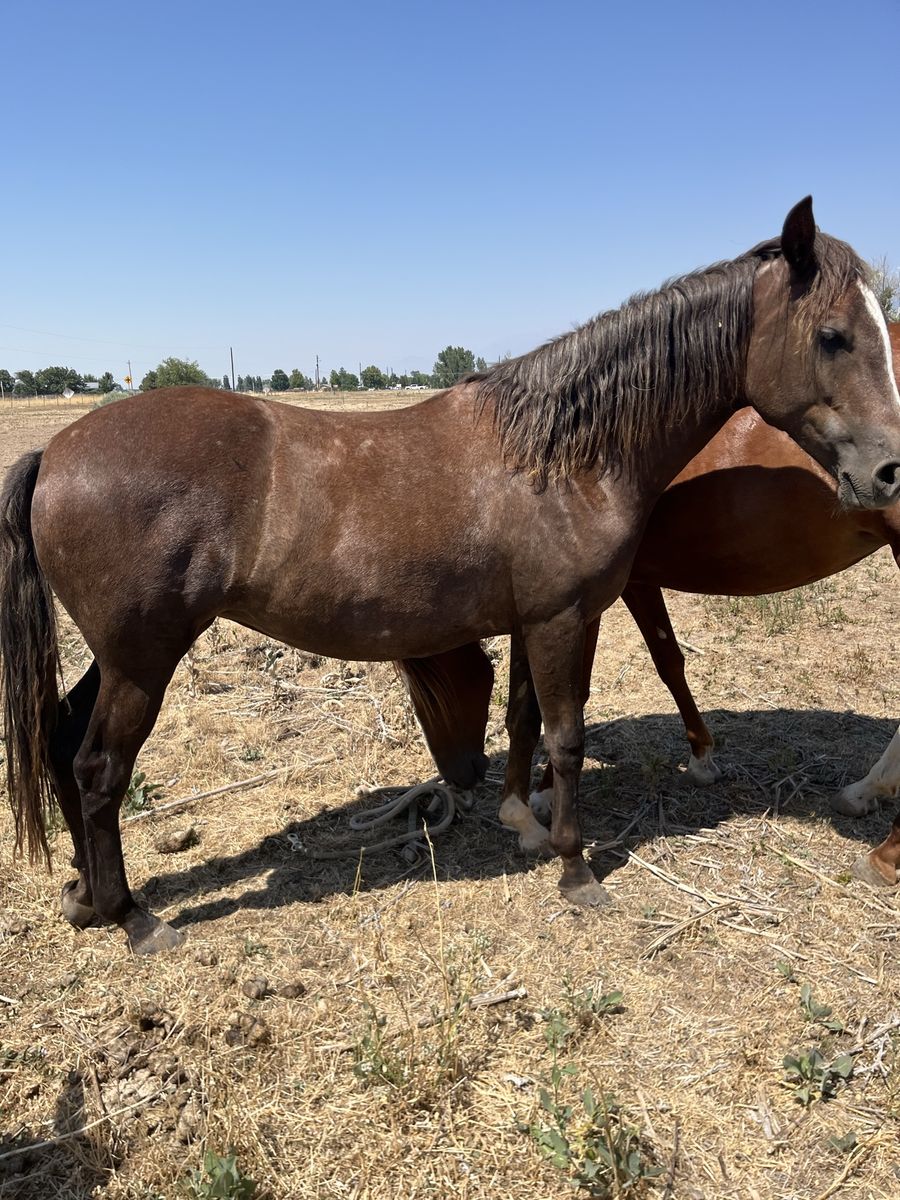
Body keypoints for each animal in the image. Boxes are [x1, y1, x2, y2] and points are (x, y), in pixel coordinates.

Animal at [405, 326, 900, 888]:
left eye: (427, 687)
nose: (460, 779)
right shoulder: (620, 588)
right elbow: (666, 663)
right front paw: (701, 754)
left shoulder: (593, 598)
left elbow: (572, 695)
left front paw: (544, 792)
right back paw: (866, 791)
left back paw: (884, 853)